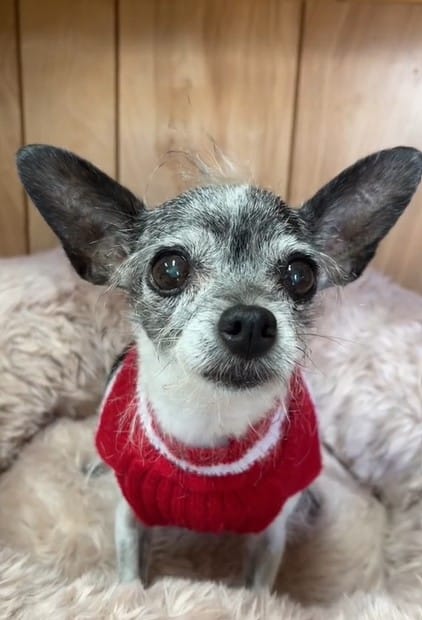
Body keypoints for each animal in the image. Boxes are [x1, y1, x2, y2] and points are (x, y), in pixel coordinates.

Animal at [14, 143, 420, 588]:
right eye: (169, 269)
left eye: (301, 275)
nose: (252, 322)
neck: (209, 422)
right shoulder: (130, 520)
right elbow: (130, 580)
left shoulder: (269, 534)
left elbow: (258, 590)